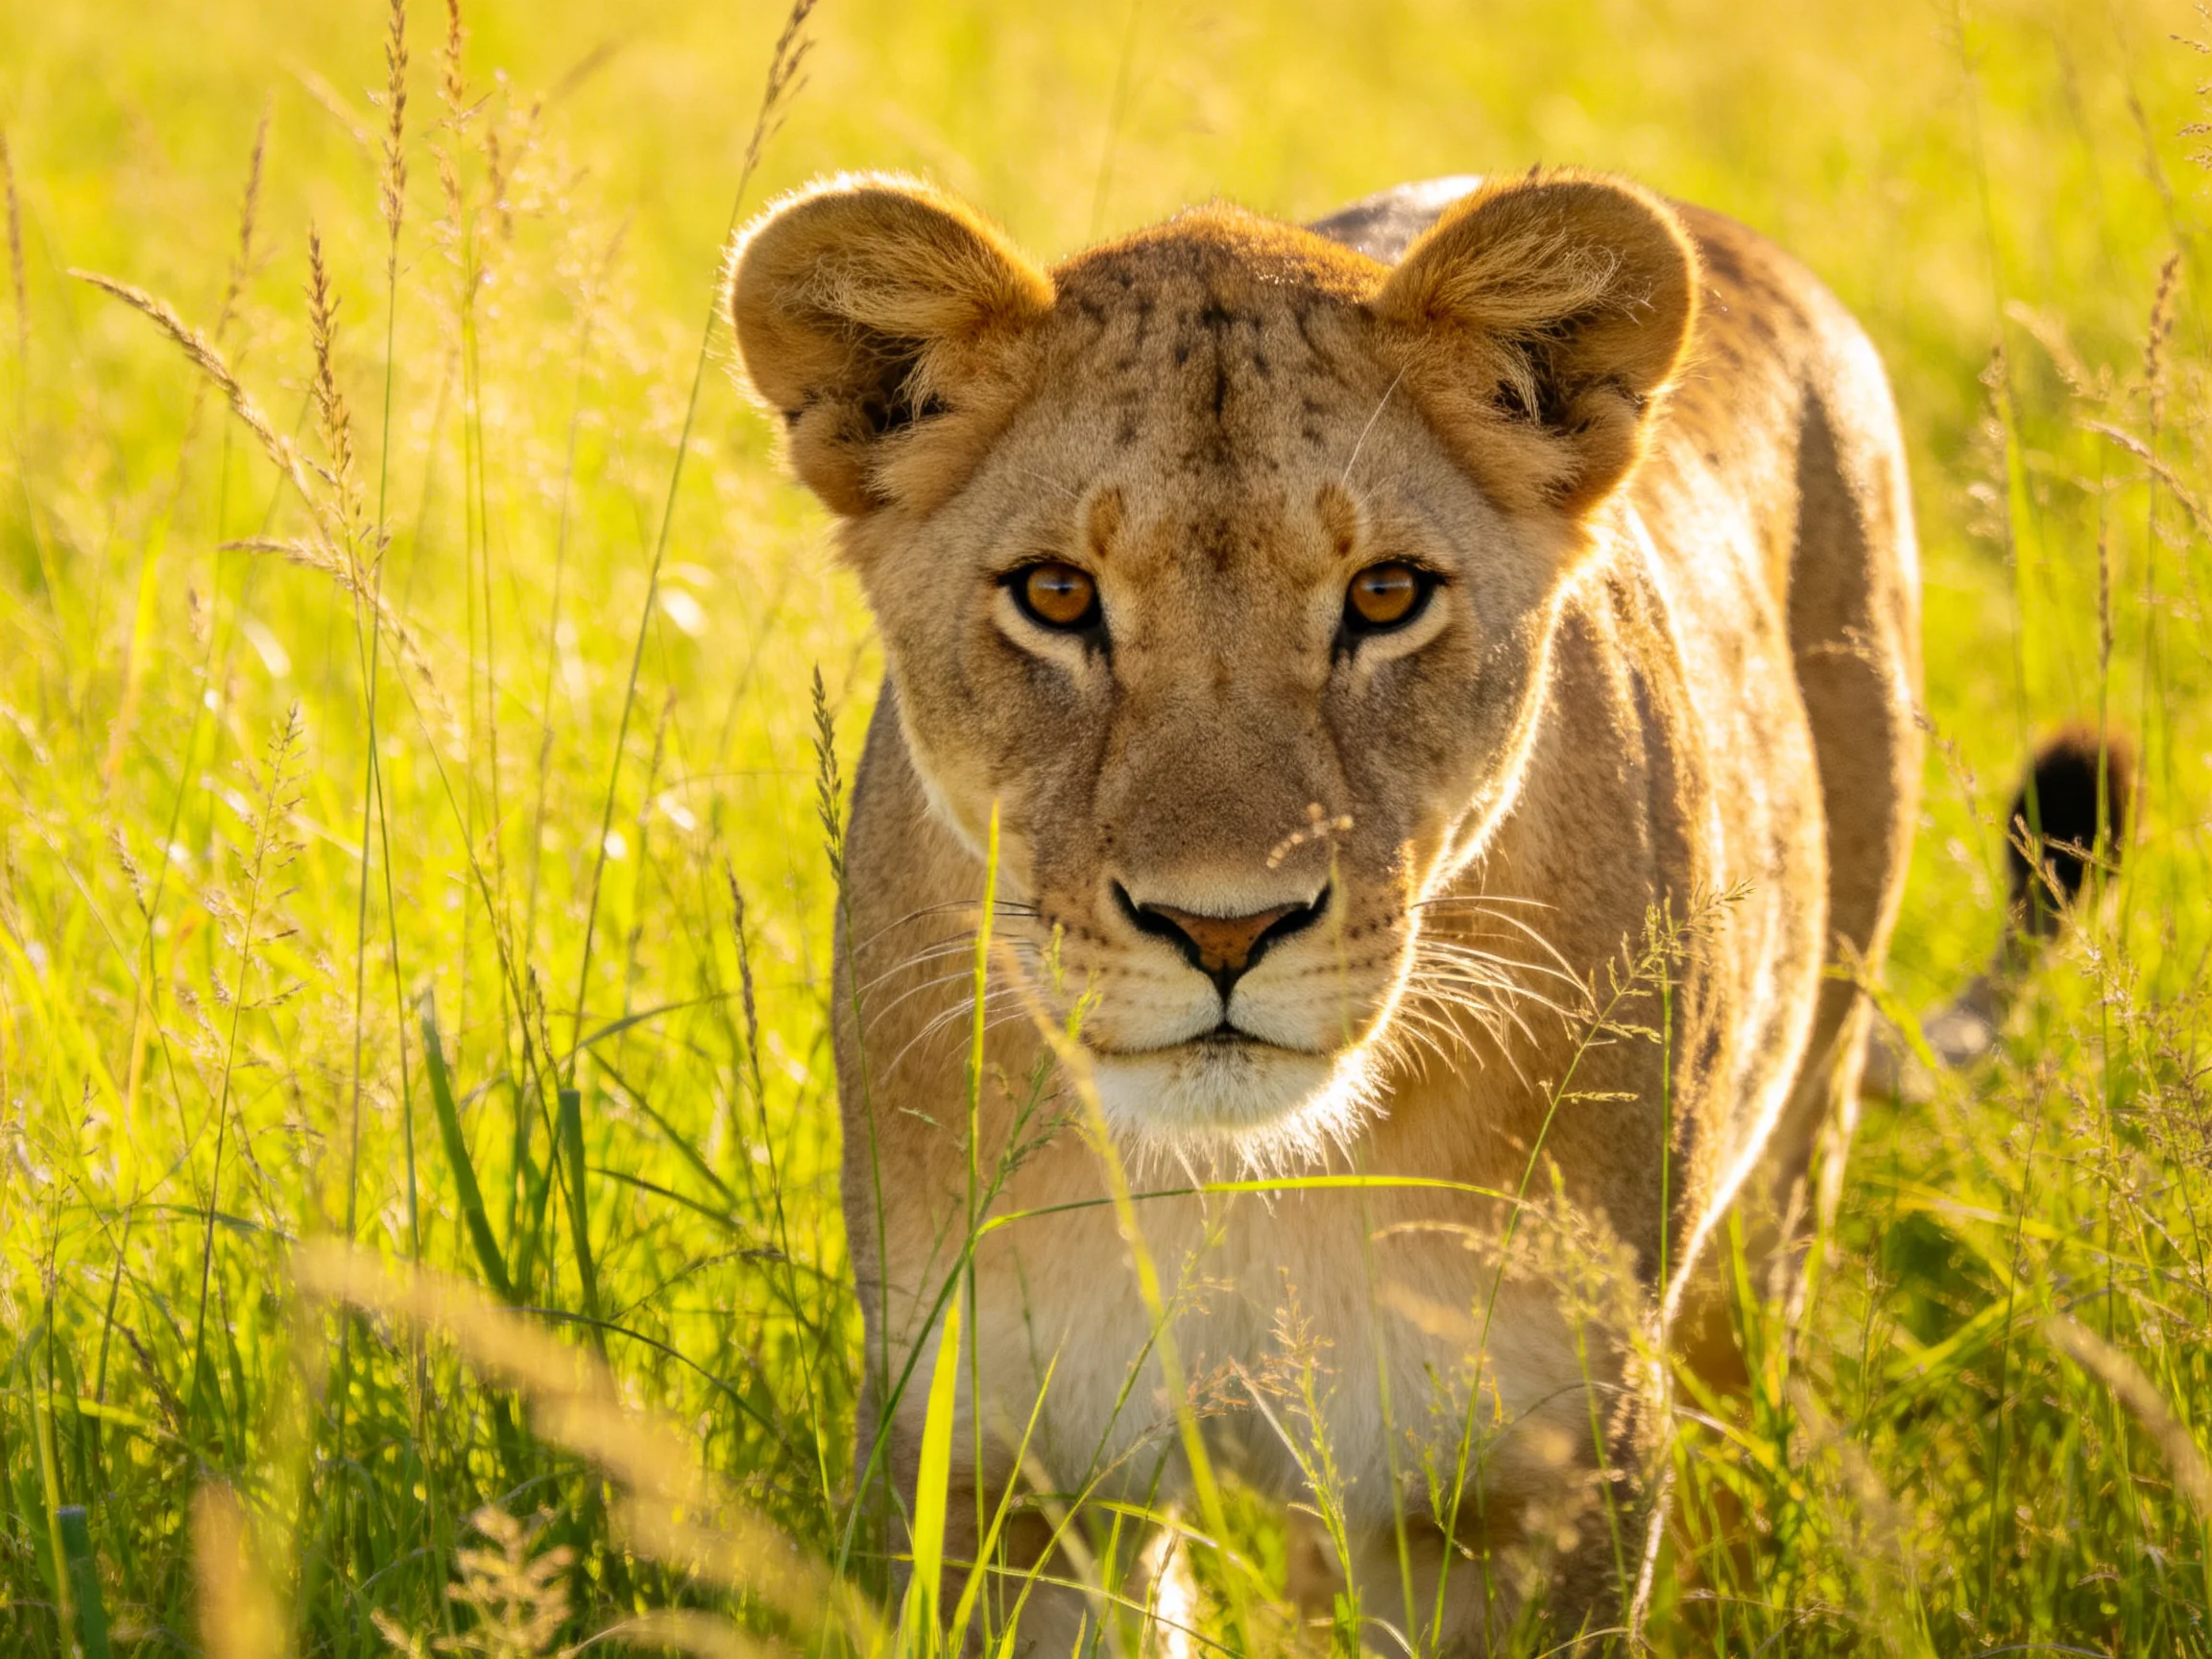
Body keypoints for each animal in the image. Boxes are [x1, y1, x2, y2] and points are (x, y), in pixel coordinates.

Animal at [729, 168, 1926, 1651]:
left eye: (1386, 595)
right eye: (1057, 595)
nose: (1223, 932)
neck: (1241, 1183)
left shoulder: (1529, 1478)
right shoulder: (1000, 1465)